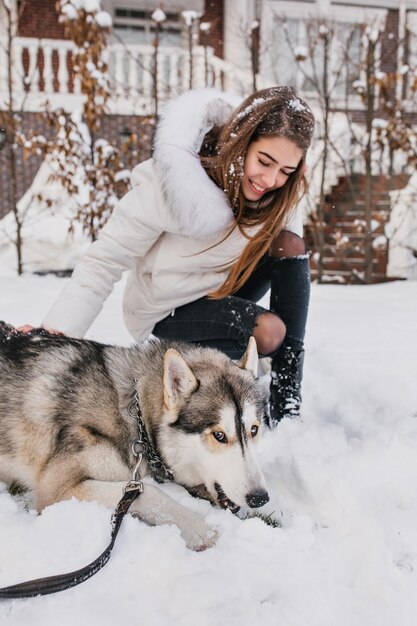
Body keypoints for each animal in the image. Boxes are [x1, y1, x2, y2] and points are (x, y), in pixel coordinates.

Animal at [0, 324, 268, 548]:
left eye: (254, 430)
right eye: (219, 435)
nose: (260, 498)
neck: (134, 416)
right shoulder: (56, 491)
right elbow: (149, 492)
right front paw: (199, 530)